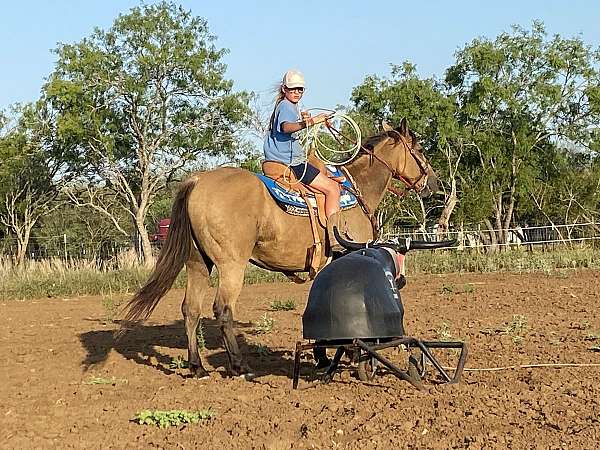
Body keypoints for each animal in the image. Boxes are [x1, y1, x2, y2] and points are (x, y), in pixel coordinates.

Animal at [120, 118, 436, 378]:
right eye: (420, 149)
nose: (432, 182)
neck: (356, 189)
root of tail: (198, 181)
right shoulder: (349, 252)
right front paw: (350, 354)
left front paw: (323, 356)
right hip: (231, 265)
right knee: (223, 310)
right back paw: (240, 366)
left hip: (198, 263)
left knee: (191, 309)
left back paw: (197, 367)